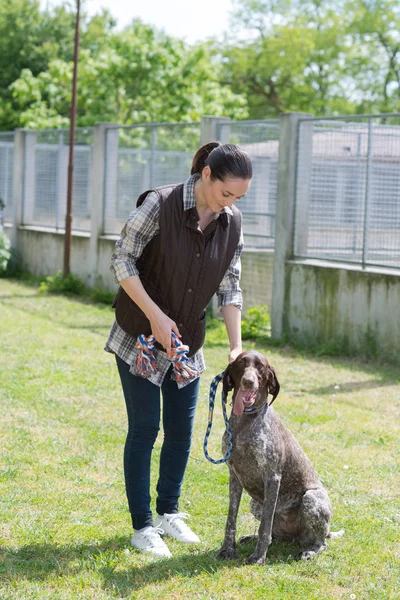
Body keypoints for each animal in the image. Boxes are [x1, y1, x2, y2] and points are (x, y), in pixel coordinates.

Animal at [217, 350, 342, 564]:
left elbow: (265, 526)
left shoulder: (272, 477)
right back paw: (254, 538)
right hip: (255, 503)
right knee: (275, 535)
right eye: (241, 363)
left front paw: (259, 557)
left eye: (260, 366)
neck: (245, 423)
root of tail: (296, 537)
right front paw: (228, 549)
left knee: (321, 542)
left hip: (312, 498)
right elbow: (231, 519)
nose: (248, 382)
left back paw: (309, 550)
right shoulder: (234, 476)